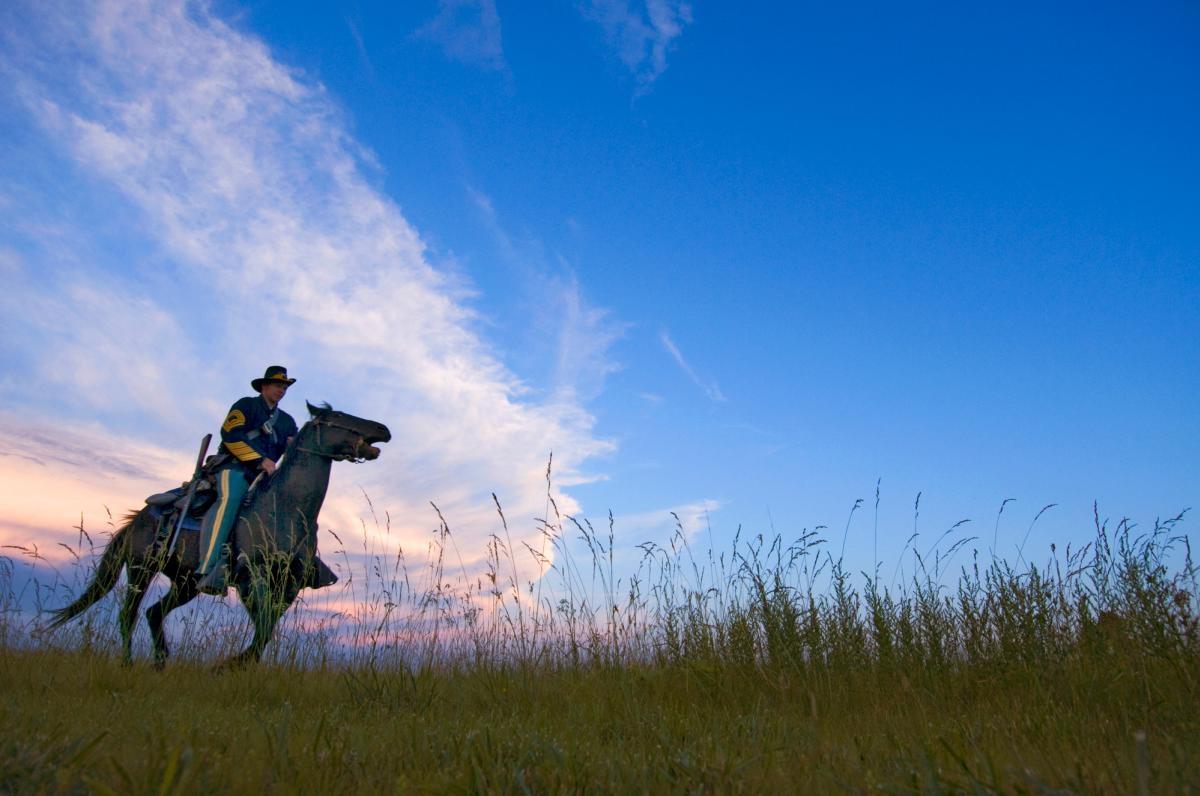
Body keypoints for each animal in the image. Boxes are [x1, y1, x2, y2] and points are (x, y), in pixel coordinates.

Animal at [46, 401, 388, 667]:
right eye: (339, 417)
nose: (383, 429)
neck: (284, 508)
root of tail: (136, 521)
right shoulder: (252, 577)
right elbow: (265, 625)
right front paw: (229, 665)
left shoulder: (288, 583)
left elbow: (268, 627)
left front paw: (240, 664)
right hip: (141, 571)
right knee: (128, 614)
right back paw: (128, 664)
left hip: (186, 583)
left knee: (154, 613)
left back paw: (161, 662)